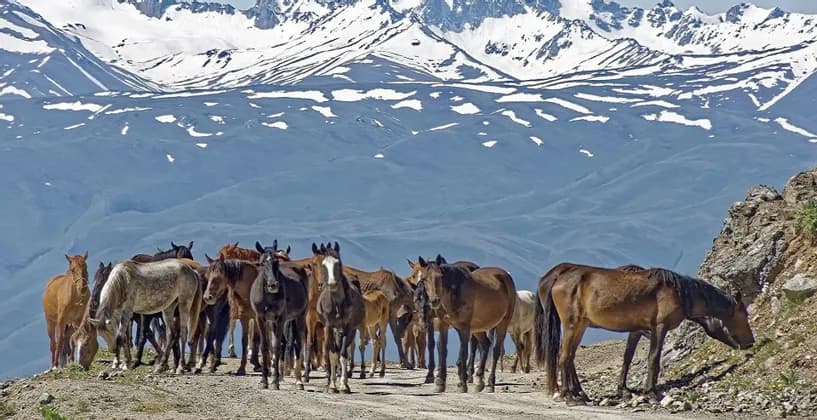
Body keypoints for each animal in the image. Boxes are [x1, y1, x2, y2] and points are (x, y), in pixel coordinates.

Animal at [251, 241, 308, 390]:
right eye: (261, 263)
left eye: (276, 262)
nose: (273, 285)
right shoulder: (261, 318)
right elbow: (265, 346)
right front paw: (264, 381)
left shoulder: (281, 319)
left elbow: (277, 346)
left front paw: (275, 381)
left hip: (299, 317)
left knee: (298, 344)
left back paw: (299, 381)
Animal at [314, 242, 365, 393]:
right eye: (324, 264)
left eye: (338, 263)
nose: (332, 284)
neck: (337, 304)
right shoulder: (328, 327)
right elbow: (332, 355)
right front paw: (331, 385)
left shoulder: (349, 327)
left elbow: (343, 355)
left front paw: (343, 385)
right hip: (334, 330)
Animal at [415, 255, 516, 393]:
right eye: (424, 279)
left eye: (440, 276)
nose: (434, 301)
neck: (454, 293)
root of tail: (506, 275)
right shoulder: (443, 325)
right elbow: (442, 349)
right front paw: (440, 383)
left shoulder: (464, 327)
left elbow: (464, 353)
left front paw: (462, 384)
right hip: (479, 326)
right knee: (485, 344)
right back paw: (479, 382)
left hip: (503, 323)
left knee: (495, 350)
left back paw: (490, 384)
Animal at [534, 263, 755, 405]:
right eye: (744, 314)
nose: (750, 342)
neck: (679, 292)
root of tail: (557, 278)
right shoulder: (659, 328)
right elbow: (653, 358)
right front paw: (651, 394)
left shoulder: (637, 330)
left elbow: (627, 358)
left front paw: (625, 391)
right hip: (572, 325)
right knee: (564, 356)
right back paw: (570, 396)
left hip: (580, 326)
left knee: (569, 356)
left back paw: (576, 394)